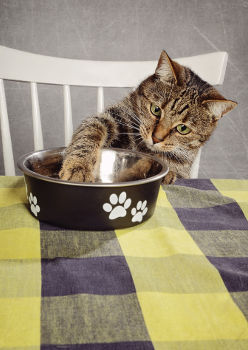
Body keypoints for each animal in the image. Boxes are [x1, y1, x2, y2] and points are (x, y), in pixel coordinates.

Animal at [59, 51, 237, 186]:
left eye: (183, 128)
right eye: (156, 110)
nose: (156, 138)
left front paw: (168, 173)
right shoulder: (110, 118)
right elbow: (89, 134)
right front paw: (79, 167)